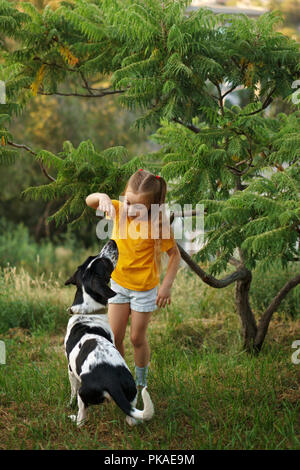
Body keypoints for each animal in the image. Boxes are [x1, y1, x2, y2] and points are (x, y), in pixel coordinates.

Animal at [64, 241, 156, 428]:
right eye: (93, 257)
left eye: (102, 261)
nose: (112, 242)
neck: (88, 312)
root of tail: (111, 382)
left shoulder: (70, 369)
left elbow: (72, 391)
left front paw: (69, 405)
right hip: (132, 394)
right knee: (131, 418)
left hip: (83, 395)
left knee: (81, 418)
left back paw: (74, 419)